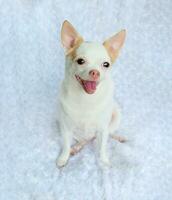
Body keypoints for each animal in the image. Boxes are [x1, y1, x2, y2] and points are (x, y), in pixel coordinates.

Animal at [57, 20, 125, 167]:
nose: (95, 72)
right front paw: (63, 158)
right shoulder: (66, 127)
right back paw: (76, 147)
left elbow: (103, 147)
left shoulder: (103, 128)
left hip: (116, 115)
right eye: (80, 61)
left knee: (108, 133)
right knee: (84, 140)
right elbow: (65, 145)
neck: (86, 99)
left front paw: (104, 162)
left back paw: (119, 137)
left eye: (106, 64)